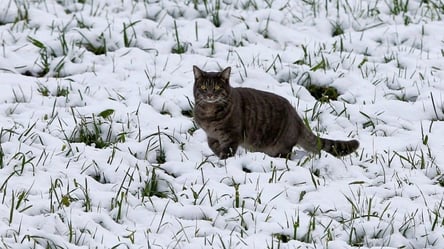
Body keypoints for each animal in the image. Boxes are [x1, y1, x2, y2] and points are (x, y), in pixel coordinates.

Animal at [193, 65, 360, 160]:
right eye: (203, 87)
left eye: (216, 88)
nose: (209, 94)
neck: (209, 114)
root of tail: (297, 119)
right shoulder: (211, 135)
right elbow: (212, 146)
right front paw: (216, 153)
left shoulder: (232, 136)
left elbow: (226, 152)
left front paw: (223, 160)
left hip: (281, 147)